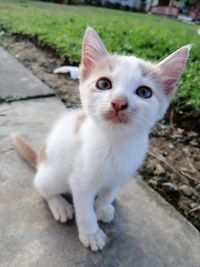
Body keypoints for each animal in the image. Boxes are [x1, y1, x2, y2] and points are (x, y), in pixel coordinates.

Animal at [12, 26, 191, 251]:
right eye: (104, 84)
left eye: (144, 92)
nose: (119, 102)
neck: (115, 144)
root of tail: (39, 160)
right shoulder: (80, 182)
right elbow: (85, 210)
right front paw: (91, 234)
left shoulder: (122, 174)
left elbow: (108, 192)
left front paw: (103, 206)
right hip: (51, 175)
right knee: (43, 189)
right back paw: (60, 205)